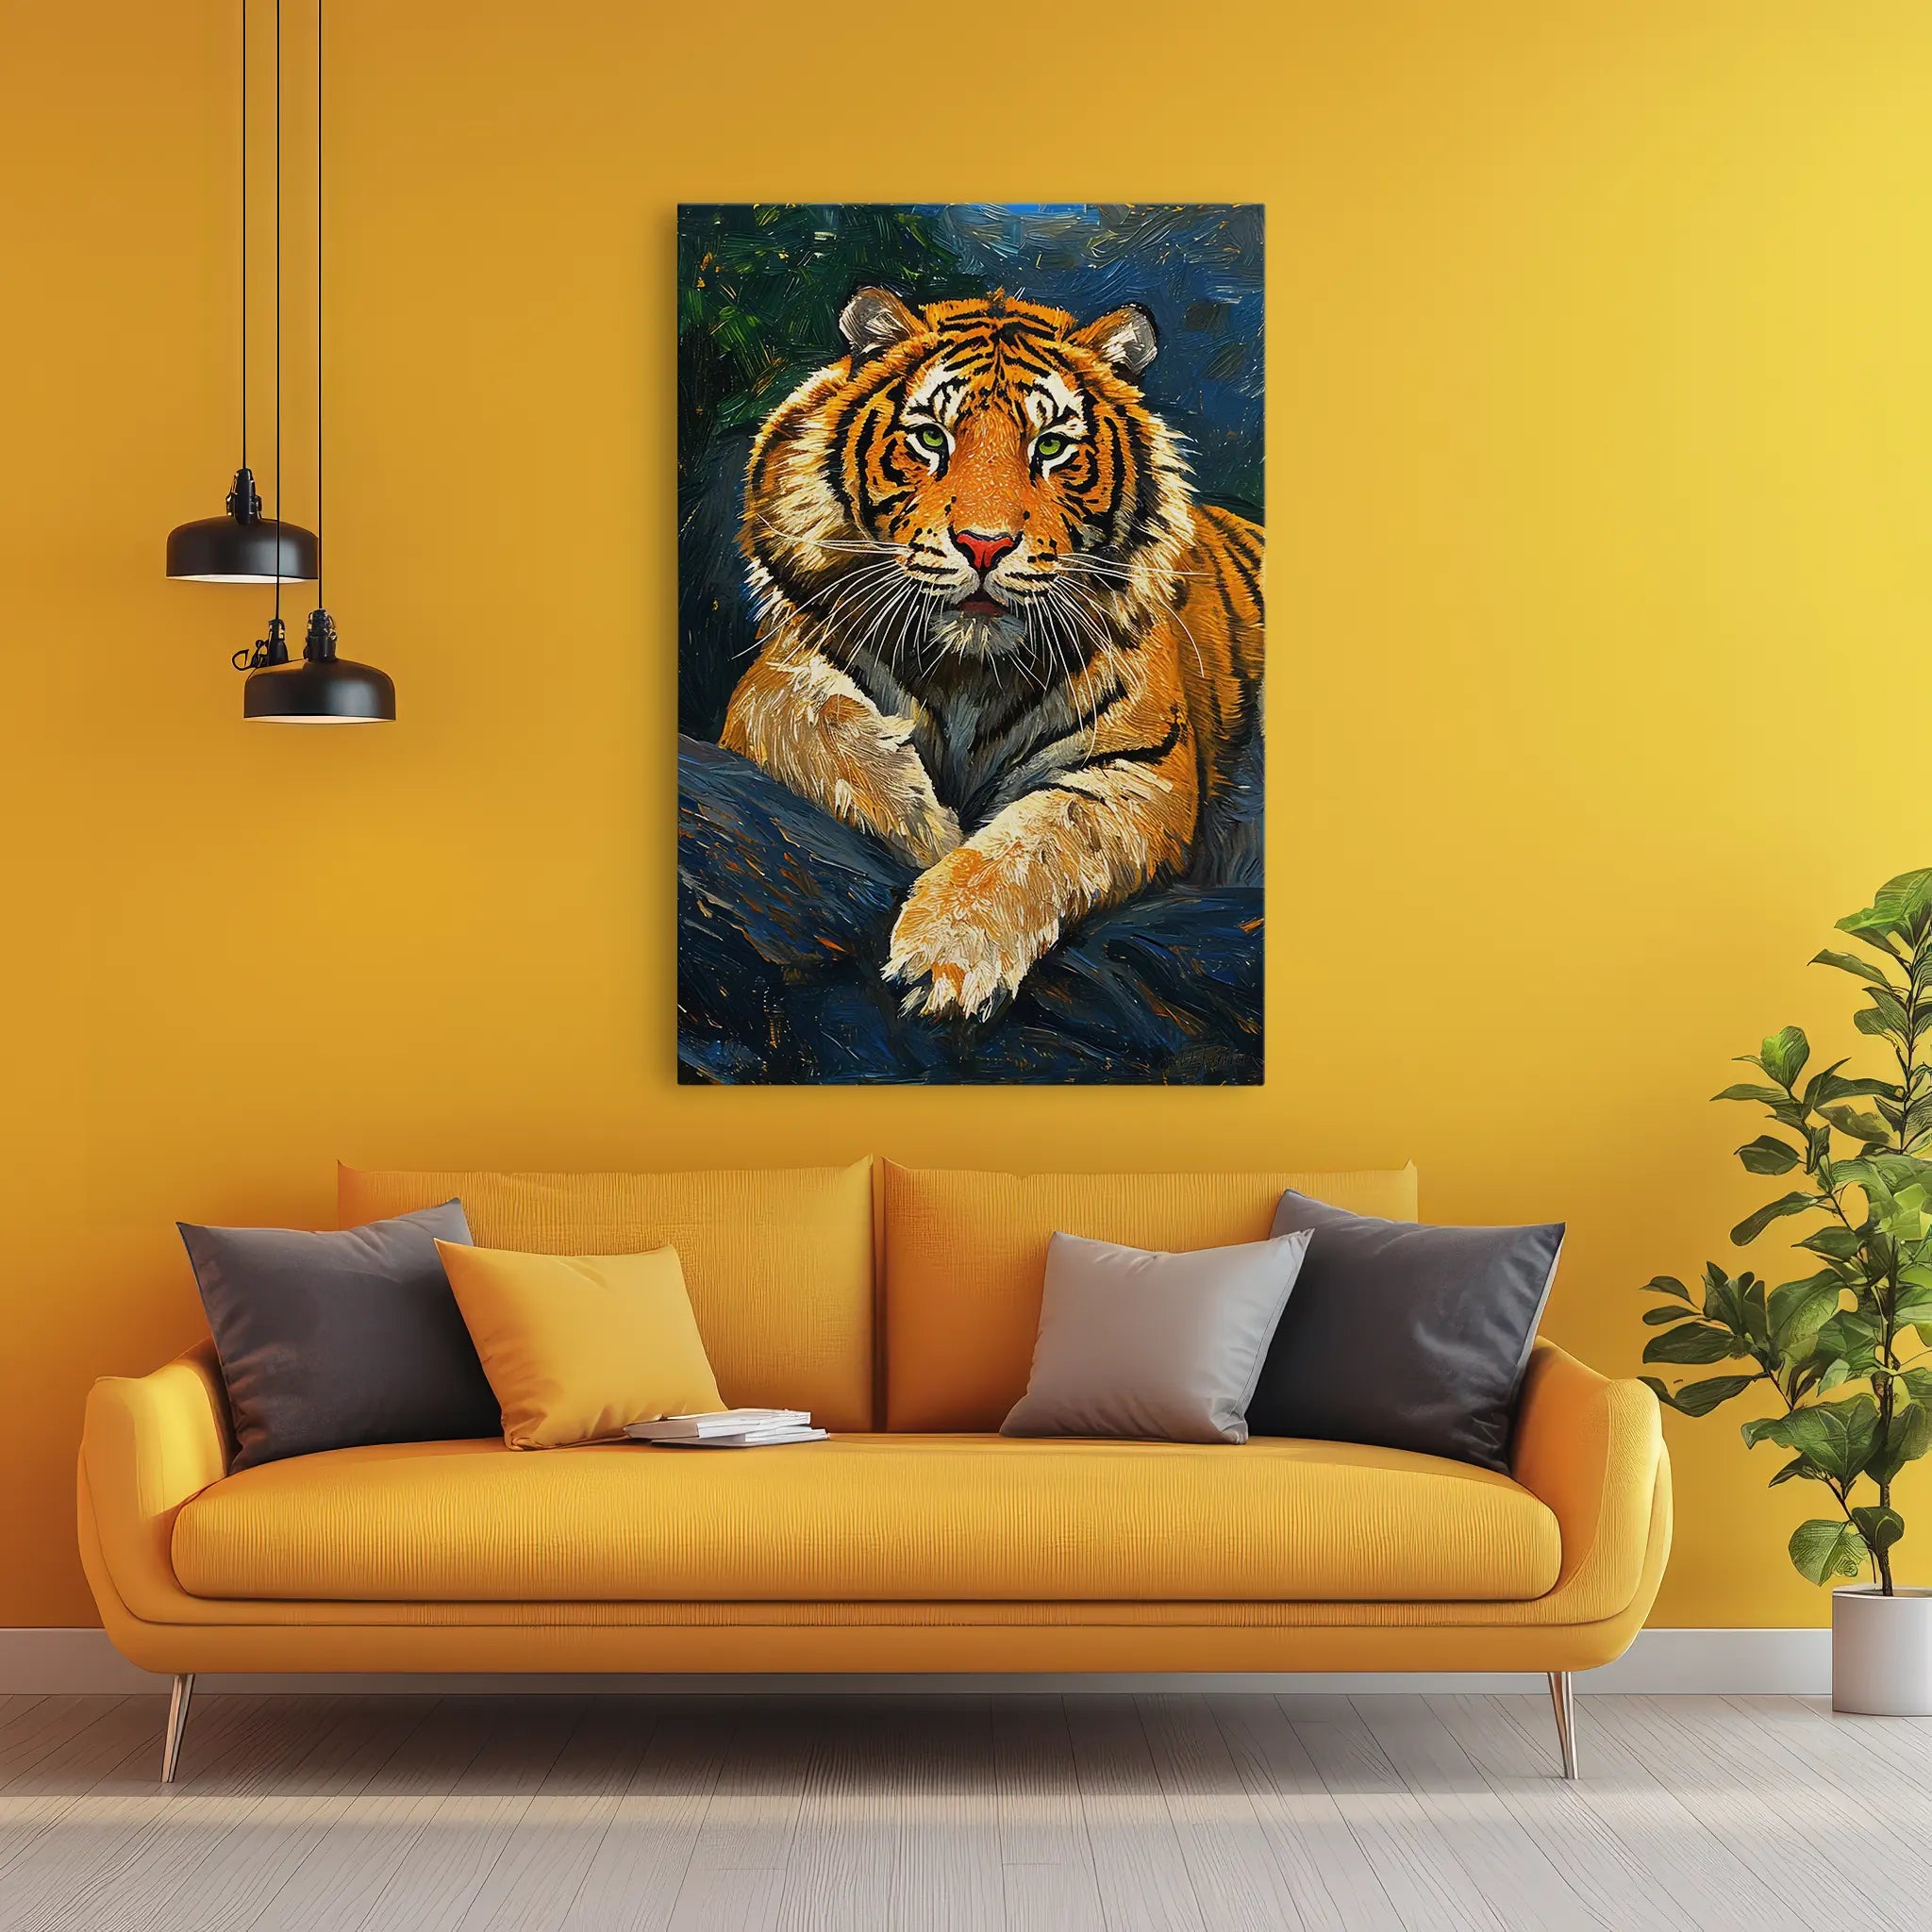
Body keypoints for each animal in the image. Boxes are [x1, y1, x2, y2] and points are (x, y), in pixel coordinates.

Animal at [720, 285, 1263, 1021]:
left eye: (1052, 446)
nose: (984, 545)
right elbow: (808, 721)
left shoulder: (1140, 767)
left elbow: (1038, 838)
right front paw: (923, 824)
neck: (966, 673)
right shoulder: (774, 675)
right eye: (931, 437)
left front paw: (947, 949)